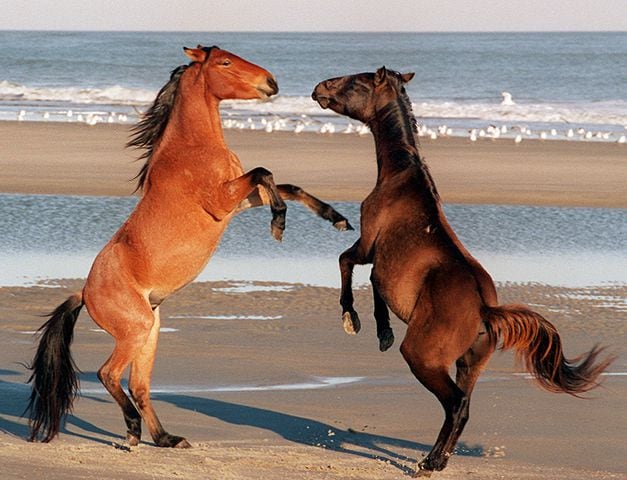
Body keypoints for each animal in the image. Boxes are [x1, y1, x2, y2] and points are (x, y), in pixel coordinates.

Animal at [28, 44, 354, 446]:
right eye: (225, 62)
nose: (271, 83)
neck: (192, 148)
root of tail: (85, 293)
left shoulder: (236, 202)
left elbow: (286, 185)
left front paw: (336, 218)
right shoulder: (222, 201)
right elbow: (266, 173)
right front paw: (279, 222)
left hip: (150, 333)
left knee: (139, 386)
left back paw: (165, 438)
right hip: (135, 331)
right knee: (109, 374)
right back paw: (133, 431)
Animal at [312, 65, 612, 474]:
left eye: (356, 81)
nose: (319, 89)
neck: (401, 179)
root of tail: (485, 310)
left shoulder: (368, 246)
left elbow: (346, 264)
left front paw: (353, 320)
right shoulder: (380, 264)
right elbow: (373, 285)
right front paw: (382, 331)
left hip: (423, 358)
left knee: (455, 404)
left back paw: (428, 463)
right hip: (469, 363)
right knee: (465, 406)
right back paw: (436, 460)